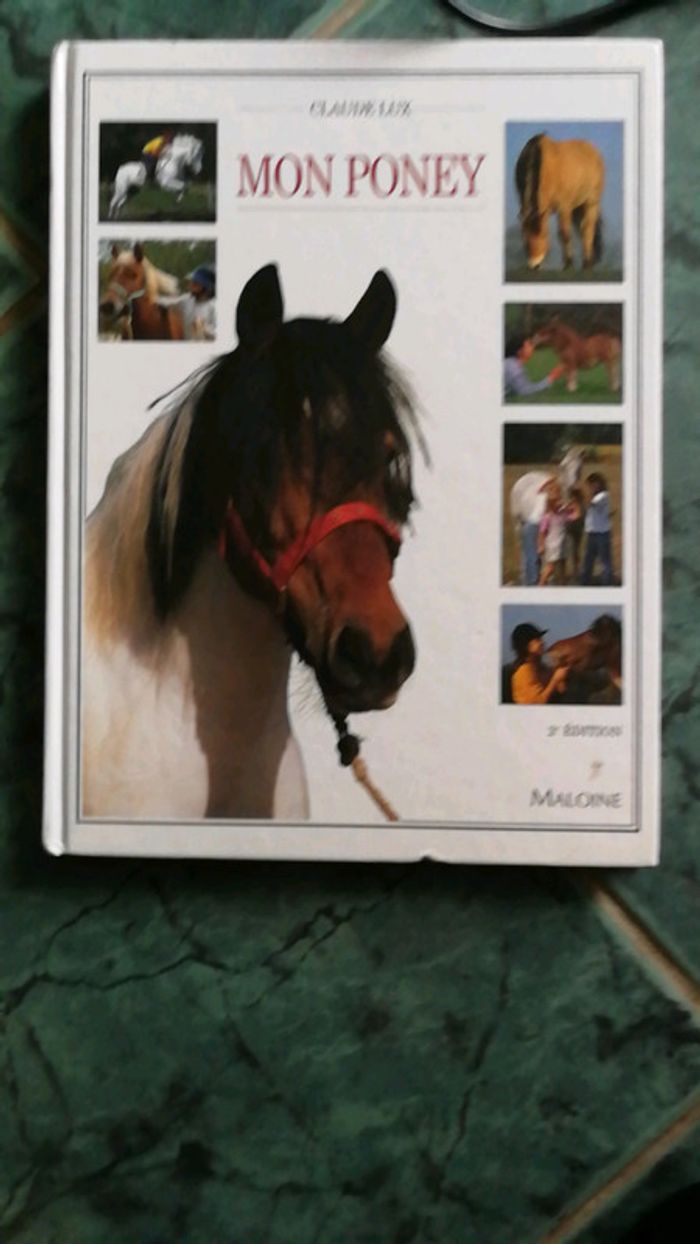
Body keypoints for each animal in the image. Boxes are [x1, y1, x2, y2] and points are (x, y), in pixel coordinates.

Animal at [509, 445, 585, 585]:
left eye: (580, 466)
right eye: (563, 466)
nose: (573, 488)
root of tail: (524, 477)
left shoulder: (576, 533)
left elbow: (573, 557)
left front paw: (574, 581)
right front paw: (552, 580)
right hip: (518, 524)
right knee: (523, 548)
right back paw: (524, 576)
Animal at [515, 133, 605, 271]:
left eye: (544, 235)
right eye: (525, 238)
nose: (535, 265)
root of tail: (594, 151)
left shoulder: (564, 207)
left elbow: (564, 234)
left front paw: (568, 264)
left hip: (591, 202)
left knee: (588, 229)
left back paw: (587, 263)